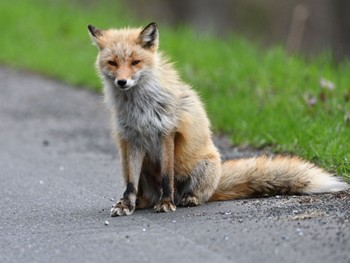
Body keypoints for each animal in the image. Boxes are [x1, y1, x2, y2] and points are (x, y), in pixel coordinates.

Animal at [87, 22, 348, 217]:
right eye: (113, 63)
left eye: (135, 62)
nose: (122, 82)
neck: (138, 108)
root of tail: (217, 182)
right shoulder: (132, 139)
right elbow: (131, 185)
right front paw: (126, 205)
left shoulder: (166, 133)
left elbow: (166, 177)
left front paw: (166, 203)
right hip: (127, 163)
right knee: (144, 194)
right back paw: (139, 203)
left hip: (204, 165)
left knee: (194, 195)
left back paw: (186, 199)